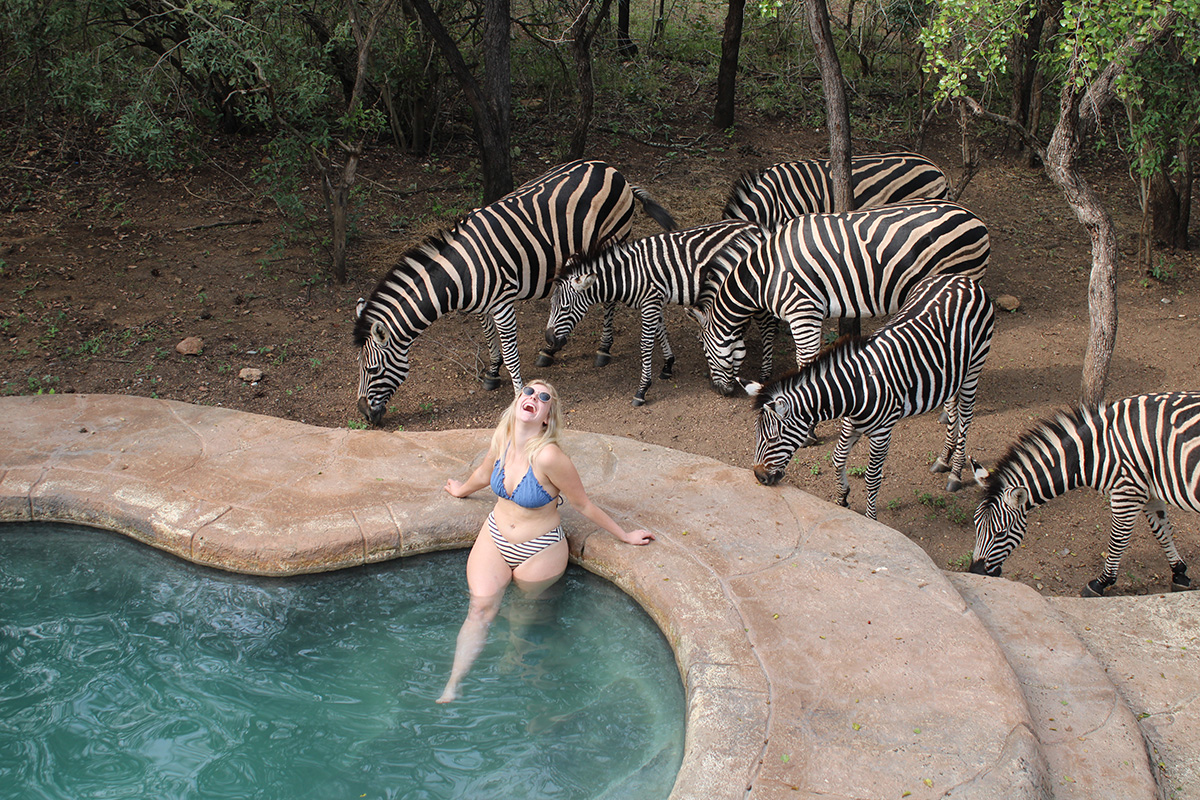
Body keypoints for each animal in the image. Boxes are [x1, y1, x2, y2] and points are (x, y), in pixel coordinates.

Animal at [353, 159, 675, 424]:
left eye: (372, 370)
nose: (364, 414)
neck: (461, 273)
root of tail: (614, 170)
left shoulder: (503, 304)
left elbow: (510, 351)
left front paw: (519, 392)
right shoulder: (480, 306)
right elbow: (489, 338)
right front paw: (492, 372)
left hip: (613, 236)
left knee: (609, 300)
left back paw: (604, 348)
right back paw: (550, 349)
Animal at [543, 220, 765, 405]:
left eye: (565, 308)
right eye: (551, 305)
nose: (549, 340)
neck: (629, 274)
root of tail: (756, 226)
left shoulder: (650, 301)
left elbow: (646, 344)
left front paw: (642, 390)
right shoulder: (654, 300)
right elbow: (661, 332)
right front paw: (668, 365)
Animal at [690, 200, 989, 397]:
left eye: (704, 349)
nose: (719, 391)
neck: (766, 273)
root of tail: (976, 218)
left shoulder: (803, 311)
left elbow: (805, 359)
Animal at [744, 274, 994, 521]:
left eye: (773, 439)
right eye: (757, 434)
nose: (759, 477)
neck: (853, 390)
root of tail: (962, 279)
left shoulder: (882, 432)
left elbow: (872, 477)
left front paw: (871, 517)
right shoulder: (850, 424)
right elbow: (837, 459)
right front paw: (842, 499)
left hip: (974, 366)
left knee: (966, 417)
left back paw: (955, 472)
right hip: (951, 373)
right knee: (952, 410)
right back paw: (943, 459)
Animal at [971, 392, 1200, 597]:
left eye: (1001, 533)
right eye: (976, 525)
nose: (975, 572)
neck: (1095, 450)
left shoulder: (1126, 492)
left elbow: (1118, 539)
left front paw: (1101, 583)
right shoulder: (1148, 490)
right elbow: (1162, 531)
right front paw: (1179, 574)